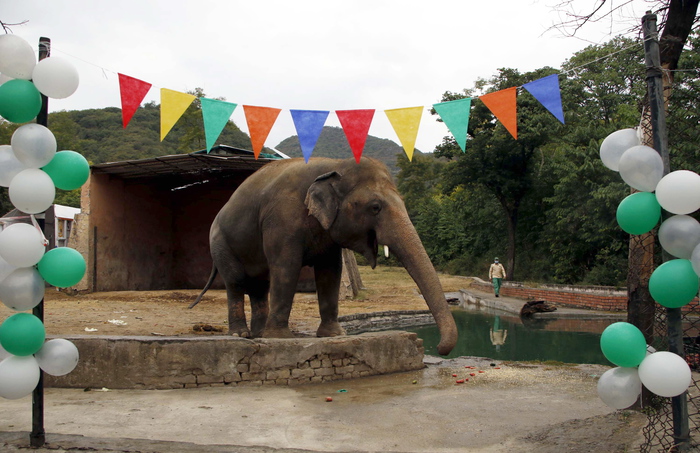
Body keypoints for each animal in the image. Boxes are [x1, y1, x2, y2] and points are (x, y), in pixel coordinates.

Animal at [190, 157, 457, 355]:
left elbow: (331, 270)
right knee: (236, 282)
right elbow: (286, 267)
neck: (334, 165)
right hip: (220, 243)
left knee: (259, 286)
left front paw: (335, 335)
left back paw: (258, 334)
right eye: (375, 207)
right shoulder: (282, 220)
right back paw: (242, 335)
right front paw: (281, 339)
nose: (438, 348)